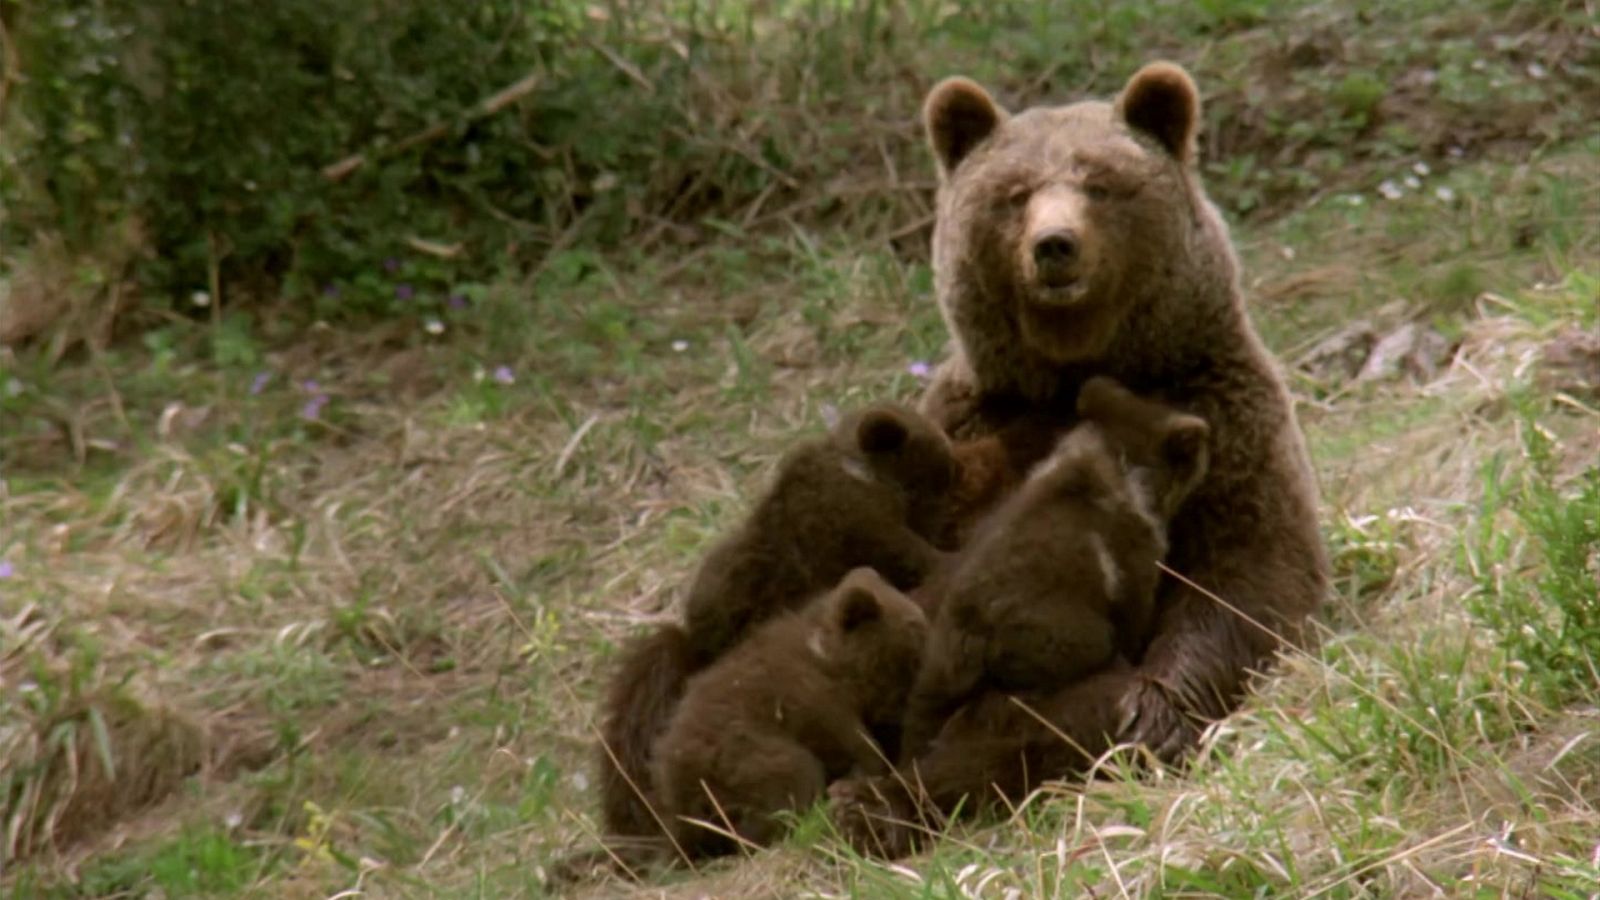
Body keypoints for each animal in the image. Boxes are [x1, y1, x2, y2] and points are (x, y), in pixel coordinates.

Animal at [832, 59, 1331, 851]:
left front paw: (1153, 714)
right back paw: (874, 805)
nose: (1055, 245)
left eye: (1099, 182)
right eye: (1014, 194)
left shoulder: (1223, 410)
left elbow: (1246, 574)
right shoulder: (972, 435)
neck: (1076, 366)